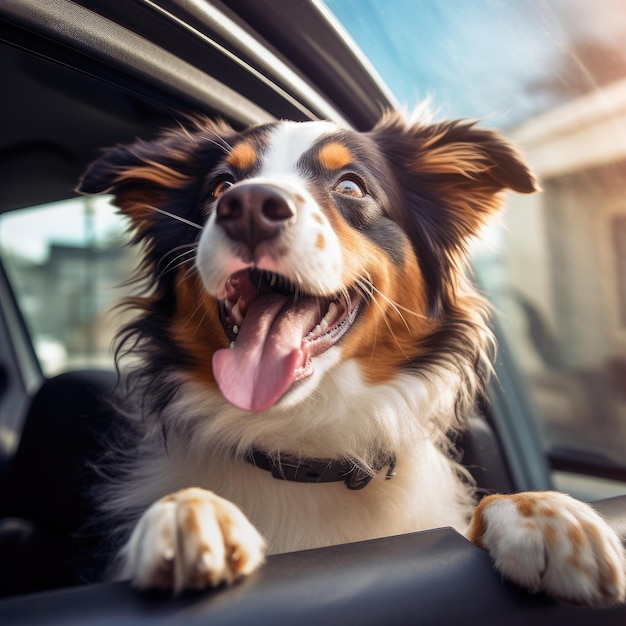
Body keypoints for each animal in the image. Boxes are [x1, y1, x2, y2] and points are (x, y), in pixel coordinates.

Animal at [78, 112, 624, 604]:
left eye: (351, 186)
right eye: (221, 186)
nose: (247, 205)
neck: (306, 454)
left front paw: (547, 513)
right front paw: (190, 512)